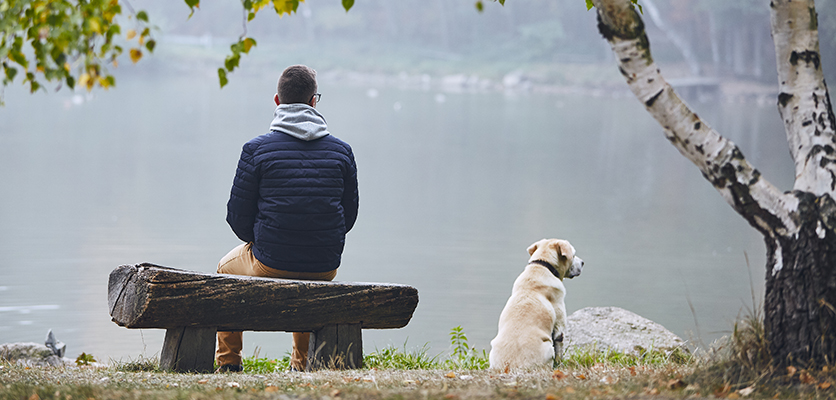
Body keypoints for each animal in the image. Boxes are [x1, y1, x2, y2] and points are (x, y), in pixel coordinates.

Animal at [486, 238, 584, 372]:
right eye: (573, 255)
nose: (583, 262)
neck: (543, 265)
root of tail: (511, 367)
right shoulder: (559, 326)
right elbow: (559, 351)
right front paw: (560, 366)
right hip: (548, 347)